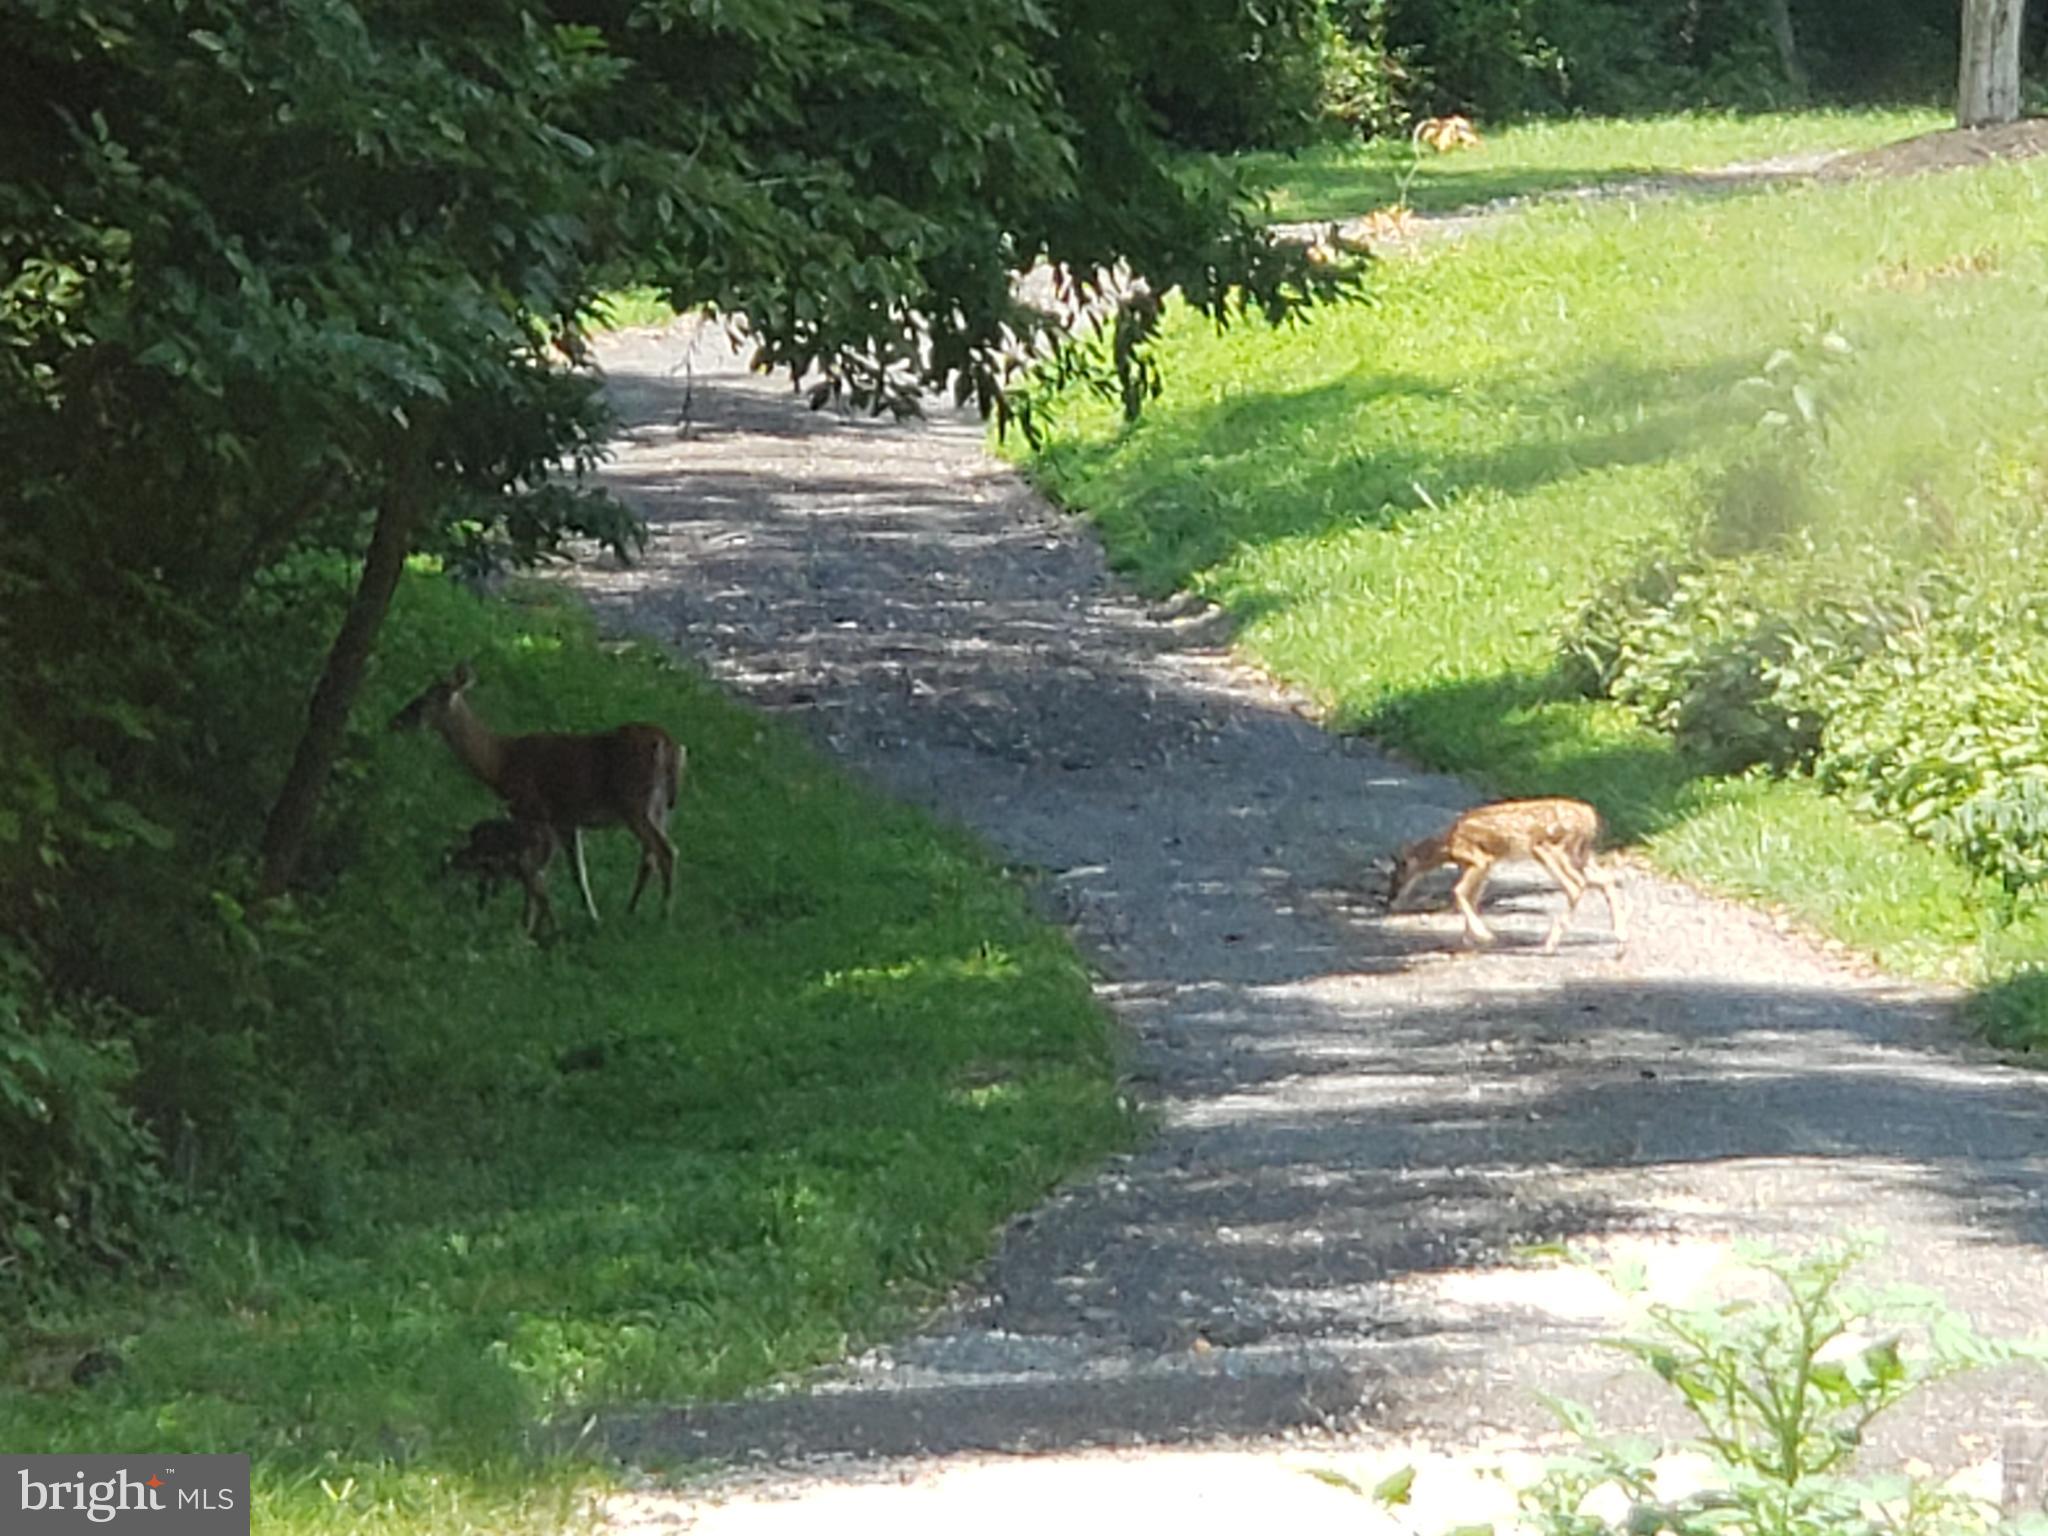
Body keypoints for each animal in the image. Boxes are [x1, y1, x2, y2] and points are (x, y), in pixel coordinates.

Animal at [392, 661, 683, 923]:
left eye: (425, 699)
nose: (397, 721)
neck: (499, 761)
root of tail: (669, 745)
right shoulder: (565, 820)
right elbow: (577, 872)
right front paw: (591, 916)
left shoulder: (532, 810)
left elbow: (534, 870)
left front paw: (525, 920)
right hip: (659, 808)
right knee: (650, 856)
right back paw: (631, 910)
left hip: (634, 803)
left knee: (666, 851)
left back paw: (664, 915)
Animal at [1383, 797, 1626, 954]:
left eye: (1397, 873)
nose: (1390, 899)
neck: (1447, 846)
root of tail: (1592, 818)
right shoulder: (1484, 865)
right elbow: (1473, 897)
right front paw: (1468, 940)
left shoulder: (1479, 858)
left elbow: (1458, 891)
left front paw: (1483, 935)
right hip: (1580, 853)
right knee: (1605, 879)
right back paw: (1620, 942)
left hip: (1548, 848)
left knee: (1576, 884)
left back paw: (1549, 945)